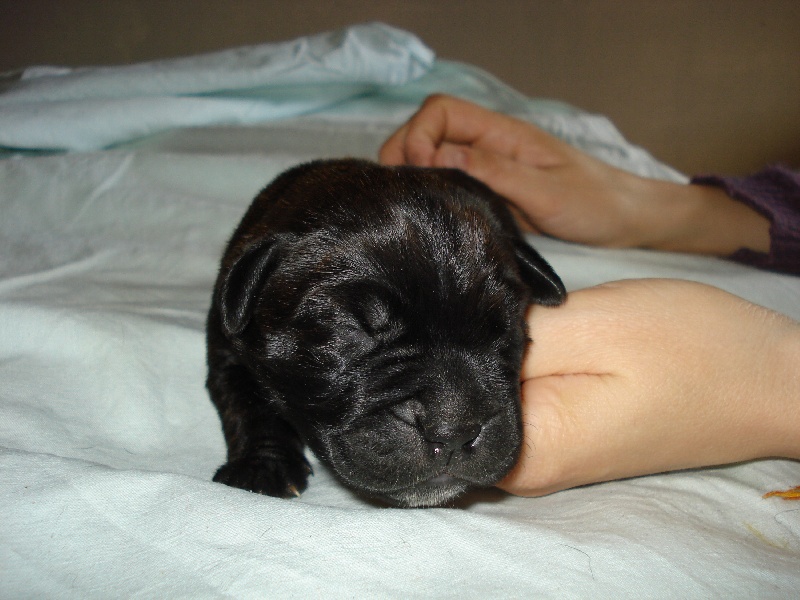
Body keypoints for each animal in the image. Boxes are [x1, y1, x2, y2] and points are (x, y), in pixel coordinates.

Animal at [206, 159, 566, 507]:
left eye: (506, 329)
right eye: (349, 328)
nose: (453, 433)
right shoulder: (226, 347)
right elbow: (248, 403)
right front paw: (263, 467)